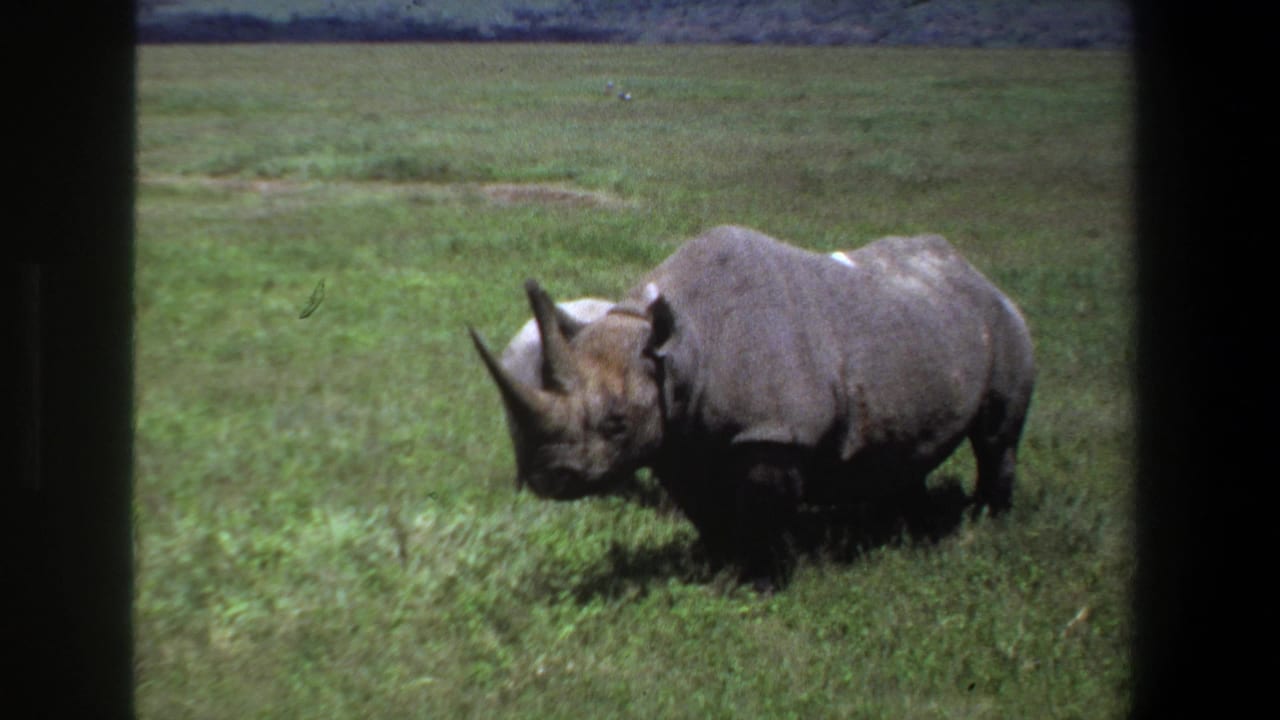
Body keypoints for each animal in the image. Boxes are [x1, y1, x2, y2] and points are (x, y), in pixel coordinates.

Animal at [469, 225, 1035, 588]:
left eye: (616, 423)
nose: (548, 478)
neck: (677, 349)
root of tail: (975, 272)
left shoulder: (774, 432)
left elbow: (763, 511)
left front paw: (763, 584)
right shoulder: (678, 436)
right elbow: (704, 511)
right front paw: (718, 570)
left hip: (1004, 322)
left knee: (995, 438)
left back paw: (985, 523)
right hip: (924, 327)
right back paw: (905, 527)